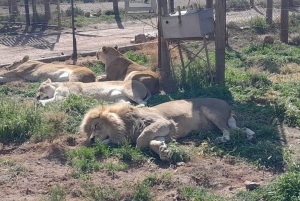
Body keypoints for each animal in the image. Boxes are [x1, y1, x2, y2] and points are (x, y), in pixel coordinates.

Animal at [79, 98, 255, 161]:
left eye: (96, 126)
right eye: (89, 132)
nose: (92, 139)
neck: (125, 125)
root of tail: (227, 105)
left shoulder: (164, 122)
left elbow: (142, 138)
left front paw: (139, 147)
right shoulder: (162, 132)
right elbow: (153, 142)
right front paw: (163, 151)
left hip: (212, 113)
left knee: (228, 130)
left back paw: (224, 138)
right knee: (238, 128)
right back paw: (250, 134)